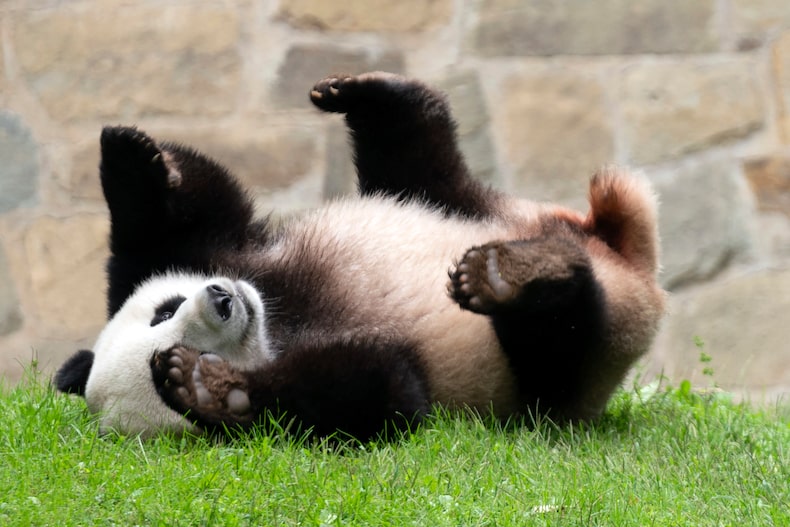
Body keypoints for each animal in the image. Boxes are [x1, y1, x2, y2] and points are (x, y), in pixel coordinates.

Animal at [55, 72, 666, 441]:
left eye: (164, 310)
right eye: (176, 336)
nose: (223, 300)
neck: (278, 318)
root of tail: (628, 261)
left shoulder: (228, 253)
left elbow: (189, 218)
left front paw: (129, 155)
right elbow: (383, 394)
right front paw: (208, 388)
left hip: (477, 207)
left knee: (422, 163)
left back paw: (369, 95)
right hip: (564, 372)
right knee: (560, 338)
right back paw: (515, 278)